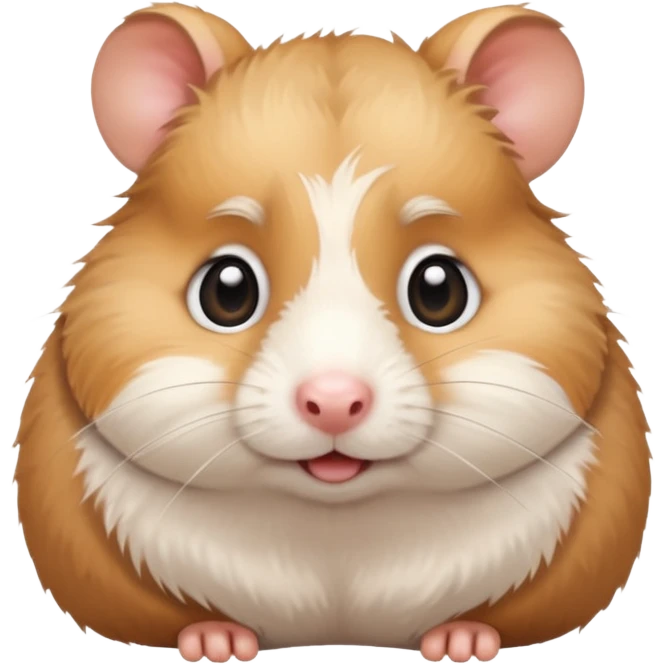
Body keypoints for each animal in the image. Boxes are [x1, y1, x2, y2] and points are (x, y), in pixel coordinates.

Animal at [13, 2, 652, 663]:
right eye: (226, 291)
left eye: (439, 290)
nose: (335, 402)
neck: (337, 530)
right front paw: (217, 643)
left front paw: (463, 643)